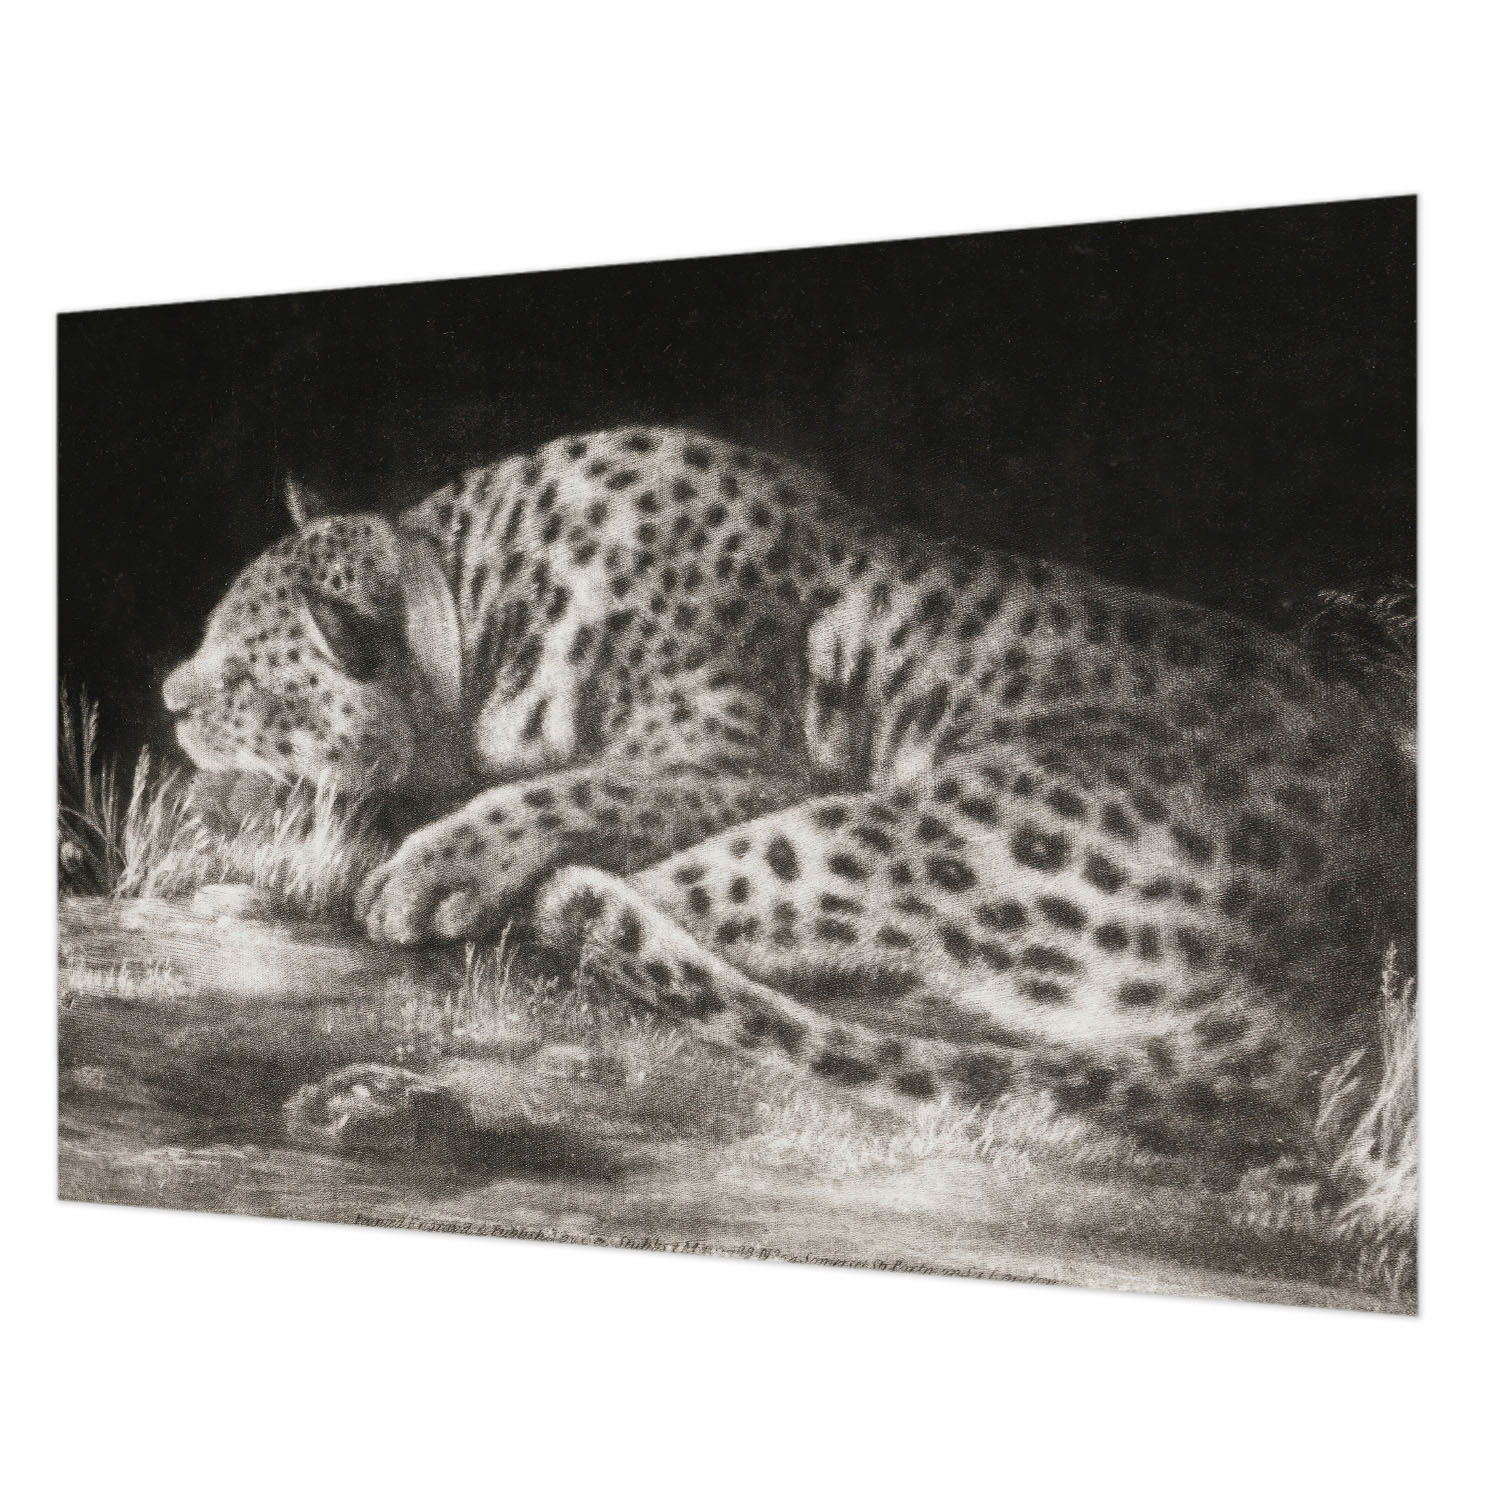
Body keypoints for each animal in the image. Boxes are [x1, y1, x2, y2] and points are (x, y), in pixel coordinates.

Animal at [163, 425, 1413, 1158]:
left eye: (239, 671)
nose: (169, 695)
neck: (483, 594)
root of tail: (1342, 969)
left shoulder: (740, 760)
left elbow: (577, 790)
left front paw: (430, 864)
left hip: (917, 823)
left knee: (653, 913)